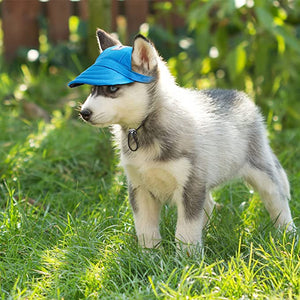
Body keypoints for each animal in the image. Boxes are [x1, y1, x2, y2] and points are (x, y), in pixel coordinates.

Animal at [68, 29, 296, 251]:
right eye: (92, 89)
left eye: (113, 89)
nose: (84, 113)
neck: (143, 129)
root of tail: (241, 96)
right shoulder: (139, 188)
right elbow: (145, 229)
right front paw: (149, 256)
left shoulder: (190, 185)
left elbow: (185, 230)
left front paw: (186, 258)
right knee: (209, 205)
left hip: (261, 171)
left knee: (278, 199)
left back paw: (288, 233)